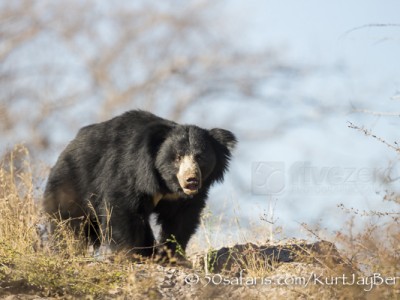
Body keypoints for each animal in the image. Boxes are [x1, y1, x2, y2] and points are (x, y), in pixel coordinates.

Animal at [43, 109, 236, 258]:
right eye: (177, 157)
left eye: (199, 157)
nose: (191, 179)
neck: (167, 184)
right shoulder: (129, 171)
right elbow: (121, 208)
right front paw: (133, 254)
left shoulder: (183, 199)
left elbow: (181, 219)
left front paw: (173, 256)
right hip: (71, 184)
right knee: (70, 222)